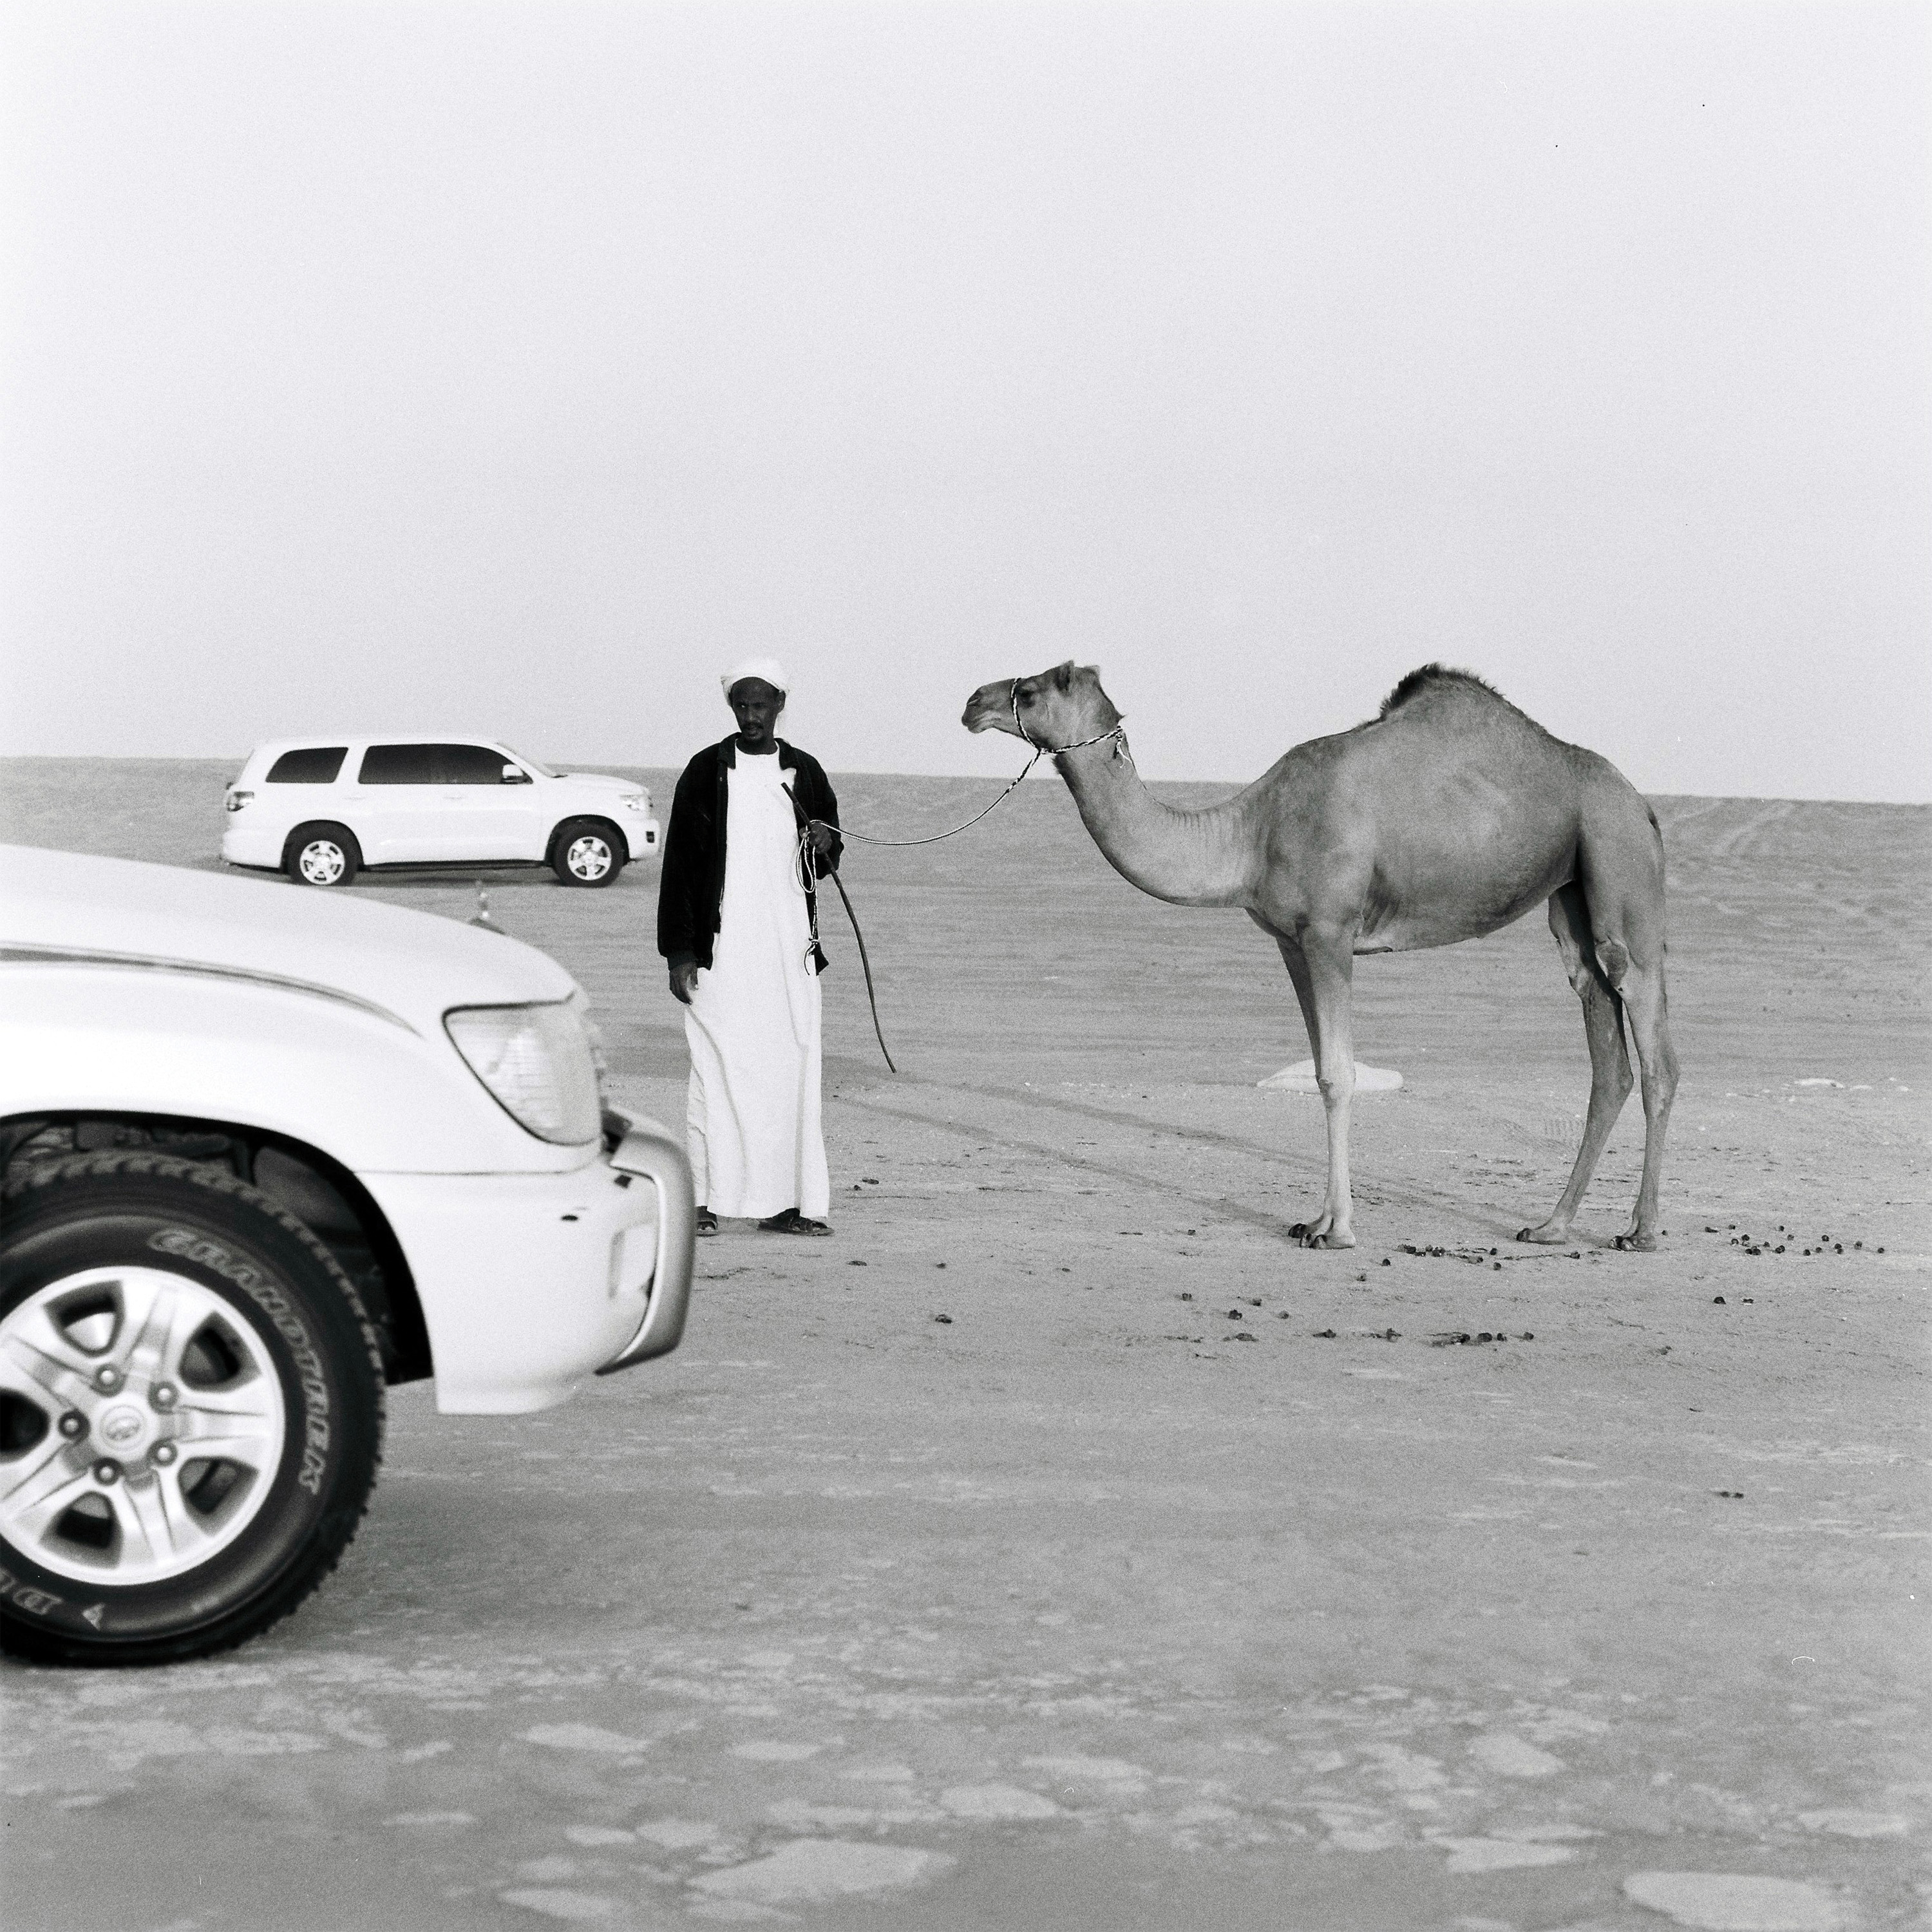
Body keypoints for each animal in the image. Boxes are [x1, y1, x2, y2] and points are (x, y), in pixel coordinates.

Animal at [966, 665, 1677, 1252]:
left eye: (1035, 689)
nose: (974, 702)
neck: (1251, 835)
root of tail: (1643, 804)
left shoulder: (1331, 935)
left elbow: (1338, 1075)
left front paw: (1336, 1230)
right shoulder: (1291, 941)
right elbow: (1317, 1070)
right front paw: (1315, 1219)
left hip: (1618, 857)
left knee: (1653, 1045)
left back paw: (1641, 1231)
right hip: (1571, 894)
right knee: (1604, 1045)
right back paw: (1552, 1225)